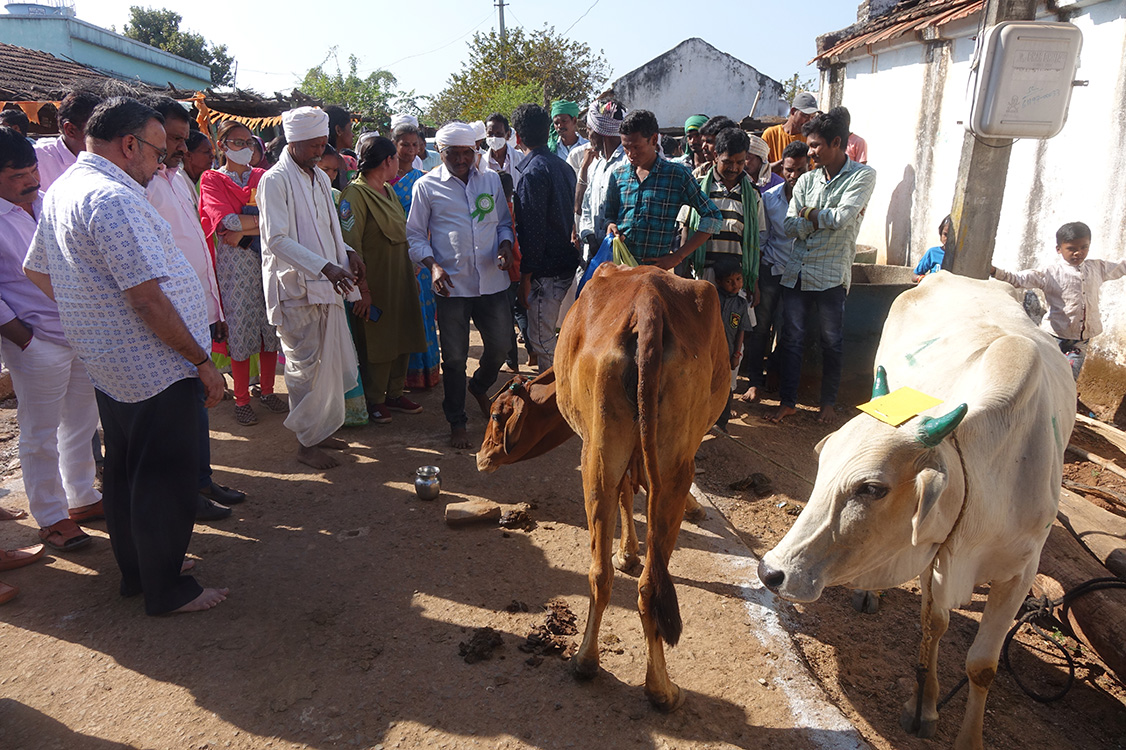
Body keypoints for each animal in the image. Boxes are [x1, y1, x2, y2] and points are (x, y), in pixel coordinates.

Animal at [479, 265, 725, 711]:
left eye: (496, 413)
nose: (481, 456)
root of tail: (648, 301)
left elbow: (627, 497)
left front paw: (628, 550)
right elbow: (630, 497)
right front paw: (629, 551)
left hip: (599, 456)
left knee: (605, 572)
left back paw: (592, 664)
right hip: (663, 465)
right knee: (641, 581)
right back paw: (656, 687)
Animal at [756, 270, 1071, 747]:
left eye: (871, 488)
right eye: (822, 459)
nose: (771, 571)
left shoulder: (1020, 571)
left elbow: (983, 666)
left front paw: (968, 737)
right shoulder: (936, 554)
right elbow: (933, 623)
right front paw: (923, 706)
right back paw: (869, 593)